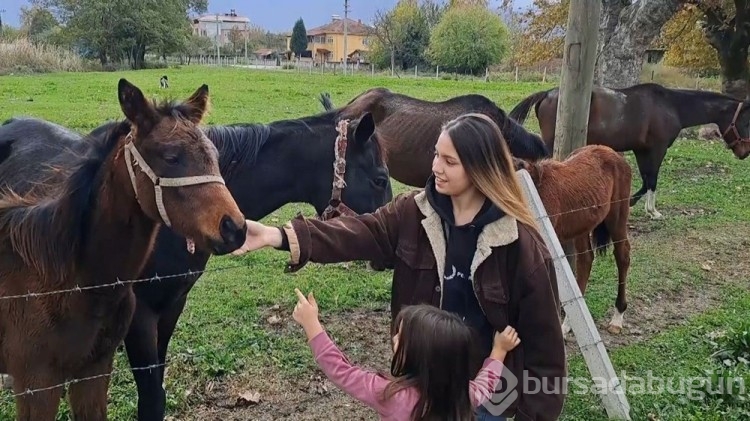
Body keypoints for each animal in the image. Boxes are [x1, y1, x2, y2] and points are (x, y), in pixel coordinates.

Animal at [508, 83, 750, 218]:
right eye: (745, 122)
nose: (744, 152)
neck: (670, 106)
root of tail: (547, 94)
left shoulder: (641, 150)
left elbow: (645, 179)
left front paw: (634, 203)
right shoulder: (657, 149)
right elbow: (652, 179)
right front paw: (652, 211)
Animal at [516, 144, 632, 334]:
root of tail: (613, 152)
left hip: (617, 218)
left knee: (622, 256)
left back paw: (617, 318)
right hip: (583, 226)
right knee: (586, 260)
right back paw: (568, 324)